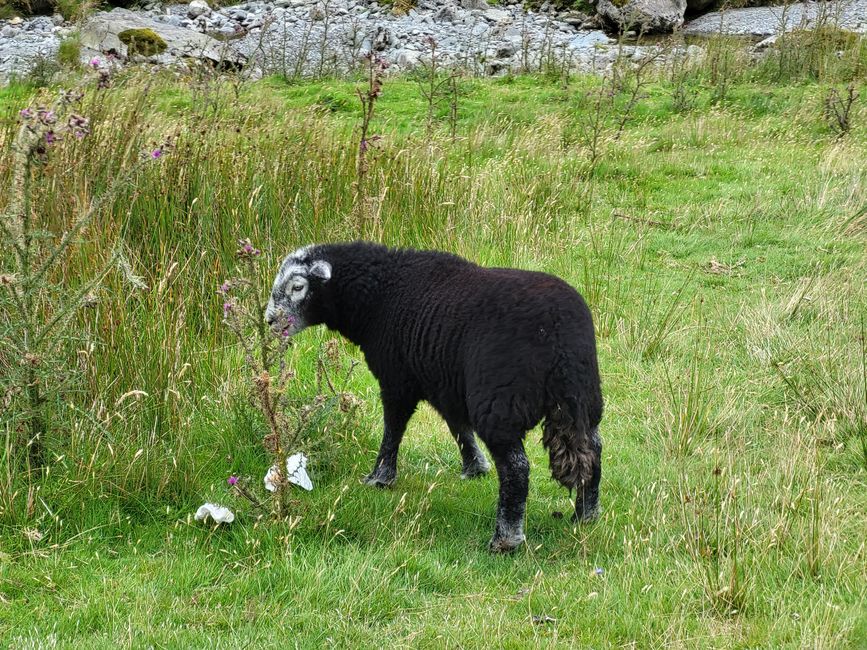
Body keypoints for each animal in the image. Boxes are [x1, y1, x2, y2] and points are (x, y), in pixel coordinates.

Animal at [264, 240, 604, 548]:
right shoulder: (445, 381)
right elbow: (458, 427)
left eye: (297, 287)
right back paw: (585, 515)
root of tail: (559, 338)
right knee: (593, 449)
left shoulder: (397, 378)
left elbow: (393, 429)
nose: (269, 321)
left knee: (516, 468)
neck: (379, 297)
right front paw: (474, 468)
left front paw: (380, 477)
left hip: (499, 401)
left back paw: (506, 539)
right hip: (583, 396)